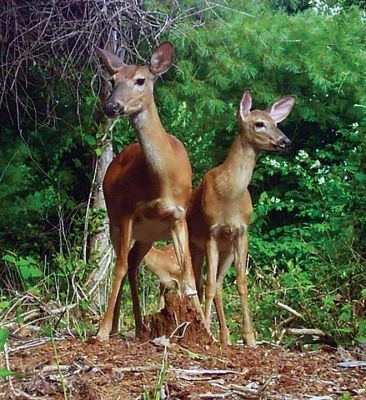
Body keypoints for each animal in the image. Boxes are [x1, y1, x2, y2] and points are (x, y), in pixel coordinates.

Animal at [94, 41, 203, 340]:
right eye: (113, 80)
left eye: (141, 80)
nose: (111, 106)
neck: (161, 180)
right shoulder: (128, 213)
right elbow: (118, 268)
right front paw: (102, 330)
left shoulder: (178, 215)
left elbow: (188, 274)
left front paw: (207, 329)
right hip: (115, 221)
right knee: (124, 264)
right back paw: (119, 325)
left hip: (148, 236)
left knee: (133, 263)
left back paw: (140, 327)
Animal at [187, 90, 296, 346]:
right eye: (259, 123)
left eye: (277, 123)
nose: (285, 141)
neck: (229, 193)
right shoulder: (211, 232)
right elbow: (207, 285)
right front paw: (207, 330)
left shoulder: (242, 232)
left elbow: (241, 283)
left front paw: (250, 337)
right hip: (194, 243)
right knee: (199, 281)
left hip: (226, 250)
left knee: (217, 283)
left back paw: (225, 336)